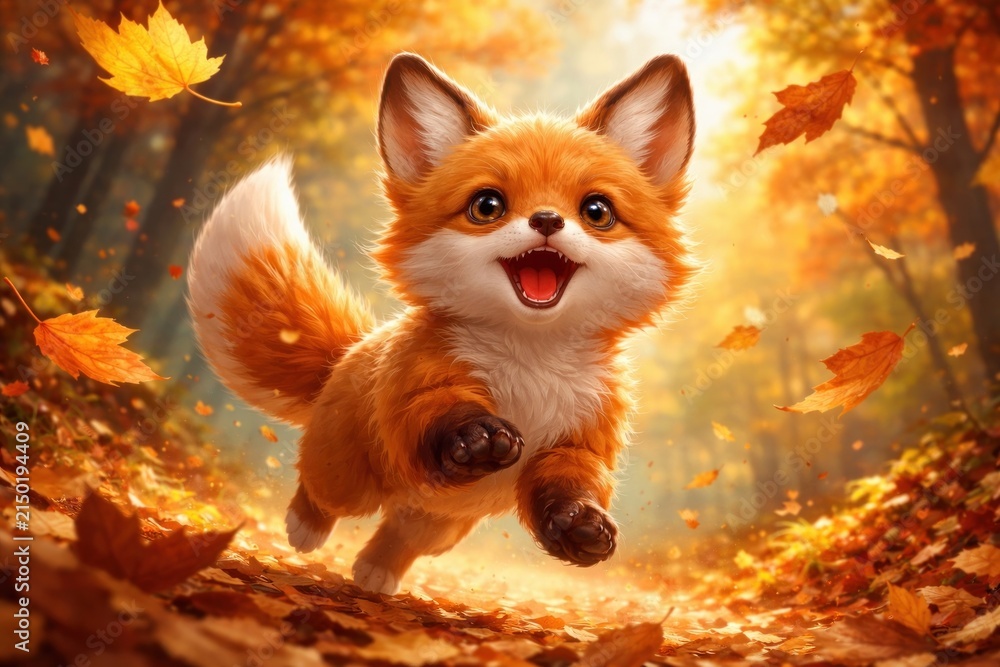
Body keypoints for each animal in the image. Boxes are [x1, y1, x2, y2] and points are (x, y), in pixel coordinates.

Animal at [187, 52, 696, 595]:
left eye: (597, 211)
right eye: (487, 205)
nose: (546, 220)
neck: (531, 368)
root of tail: (347, 355)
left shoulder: (579, 444)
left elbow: (571, 484)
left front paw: (580, 525)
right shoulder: (420, 391)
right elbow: (438, 417)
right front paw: (477, 439)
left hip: (440, 525)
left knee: (398, 538)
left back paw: (376, 573)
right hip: (350, 481)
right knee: (321, 492)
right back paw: (304, 527)